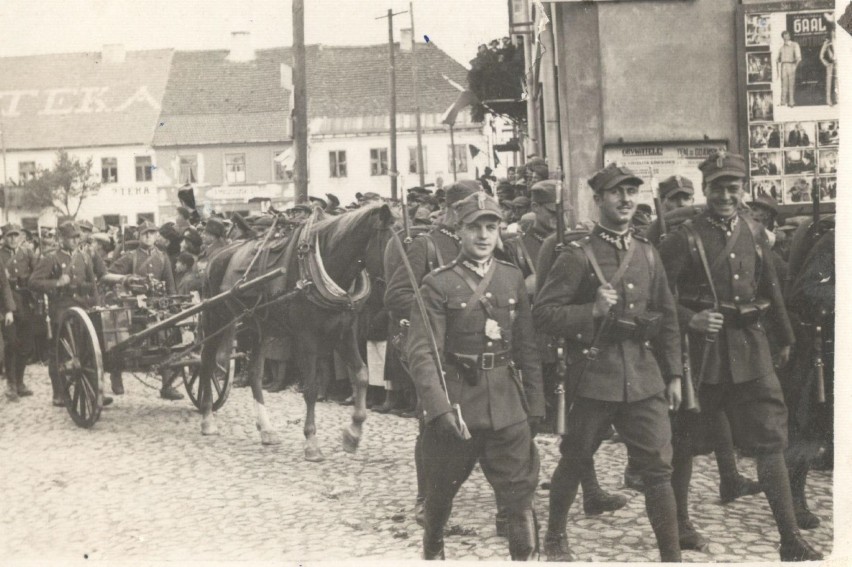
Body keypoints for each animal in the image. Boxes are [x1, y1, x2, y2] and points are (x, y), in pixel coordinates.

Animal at [196, 204, 396, 462]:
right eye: (389, 241)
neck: (320, 264)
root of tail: (216, 256)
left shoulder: (344, 332)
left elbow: (361, 374)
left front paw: (353, 433)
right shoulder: (307, 338)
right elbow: (310, 388)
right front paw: (311, 442)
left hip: (257, 327)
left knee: (254, 374)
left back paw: (266, 428)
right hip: (215, 319)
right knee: (206, 363)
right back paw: (207, 419)